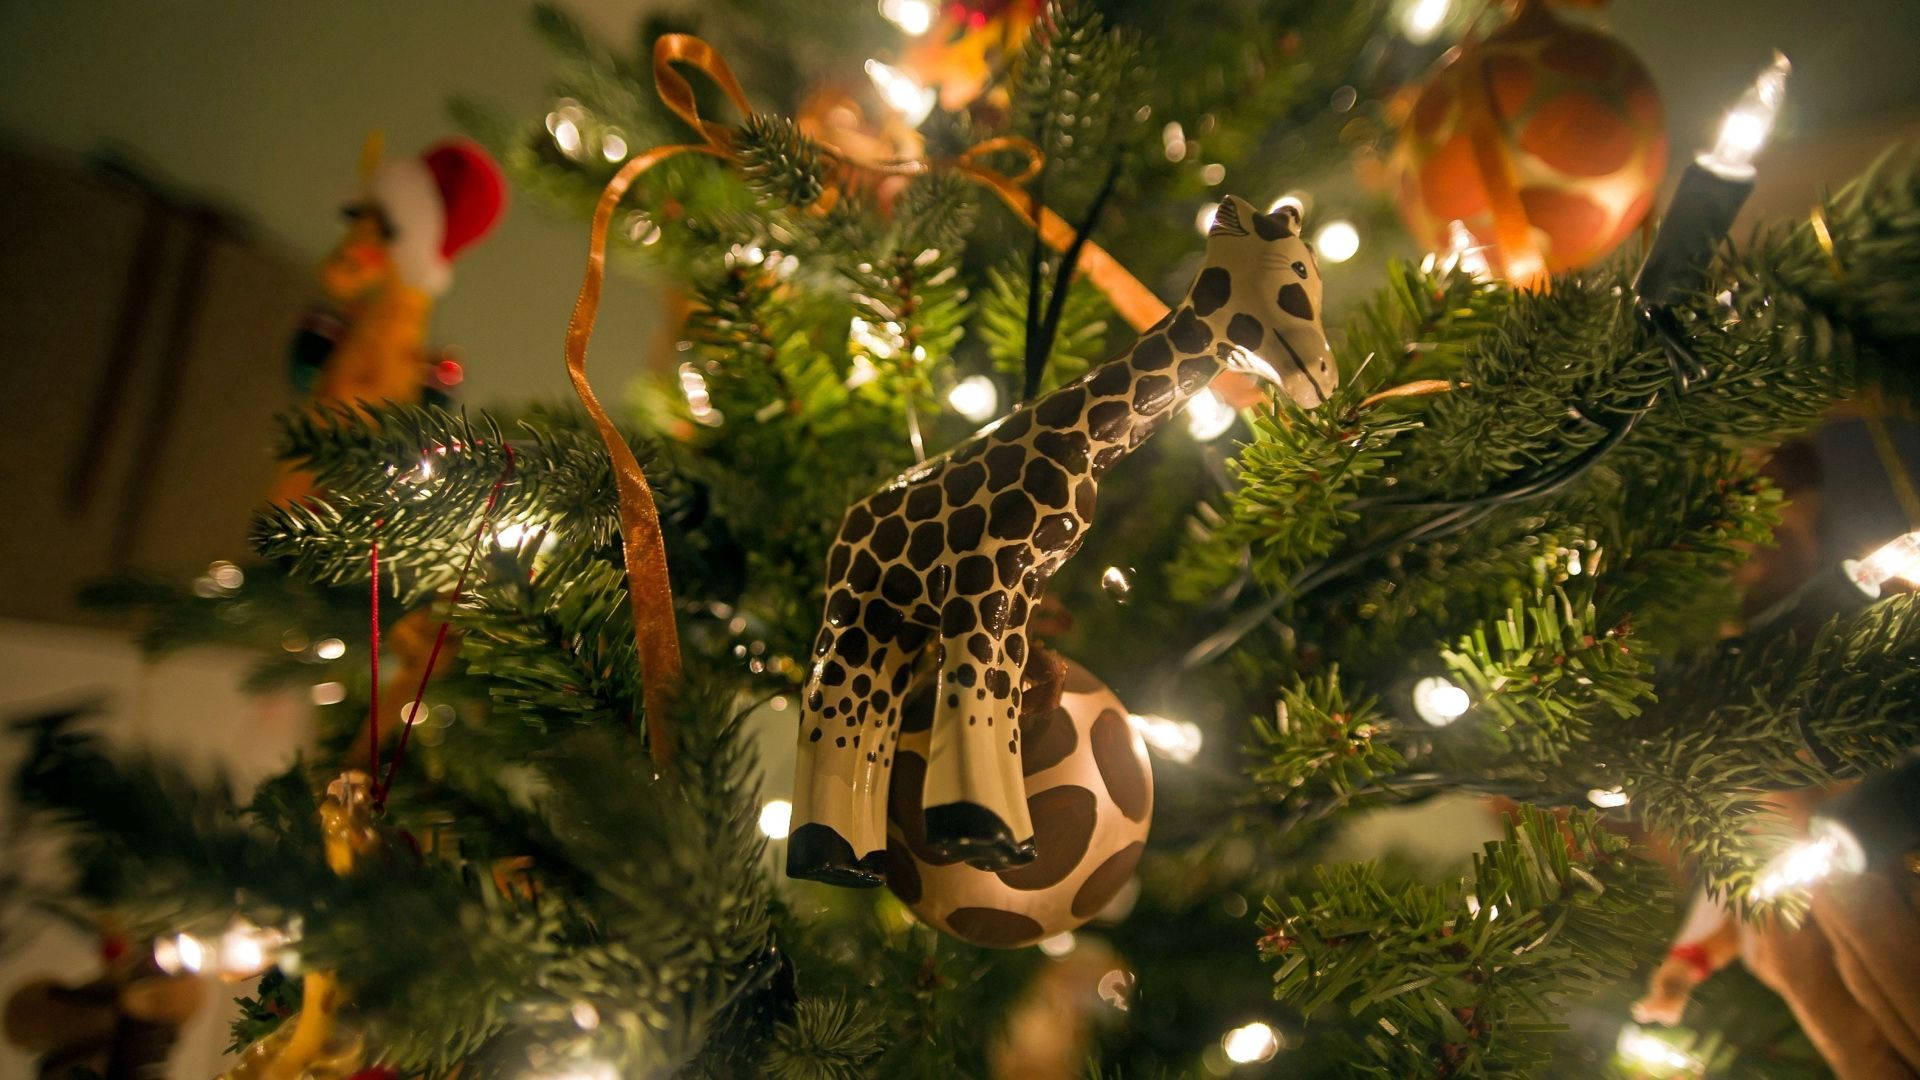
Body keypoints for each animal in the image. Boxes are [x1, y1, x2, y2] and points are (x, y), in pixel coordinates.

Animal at [788, 194, 1338, 885]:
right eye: (1295, 270)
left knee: (856, 711)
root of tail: (849, 520)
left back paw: (845, 860)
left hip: (890, 625)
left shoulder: (1022, 580)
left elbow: (1009, 687)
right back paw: (835, 855)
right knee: (824, 700)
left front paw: (992, 826)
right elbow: (979, 688)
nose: (1324, 377)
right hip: (857, 611)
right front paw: (987, 834)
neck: (1086, 445)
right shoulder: (985, 578)